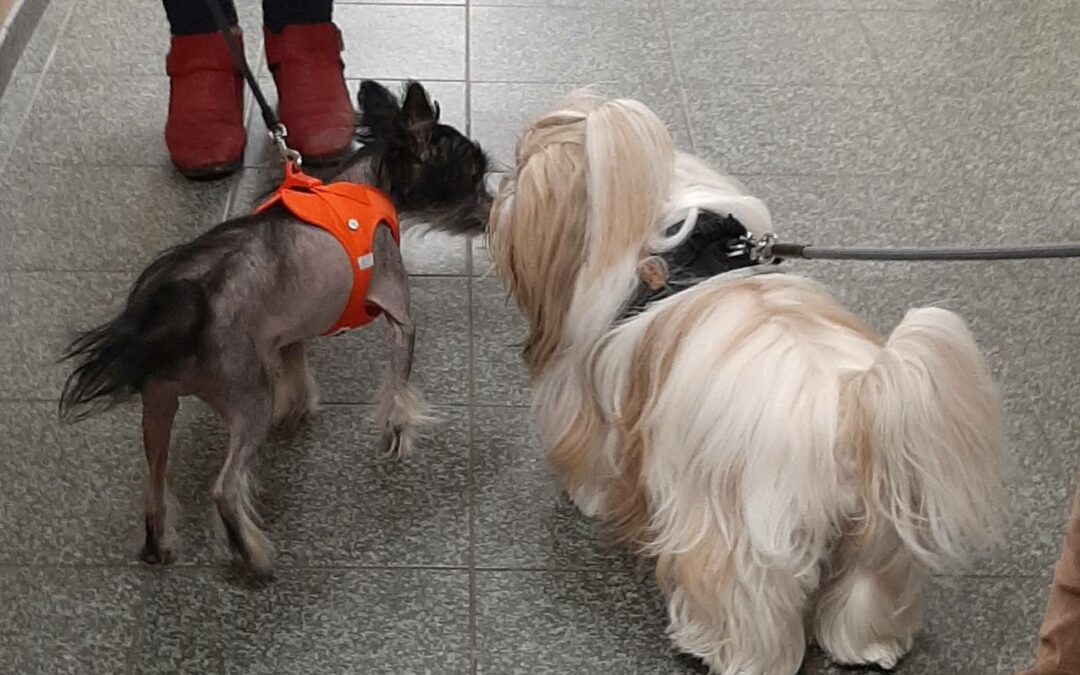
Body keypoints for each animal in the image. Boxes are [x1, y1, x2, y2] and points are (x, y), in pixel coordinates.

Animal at [486, 90, 1006, 673]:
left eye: (523, 169)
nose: (499, 186)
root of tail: (850, 409)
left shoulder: (592, 397)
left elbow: (594, 461)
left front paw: (587, 498)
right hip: (879, 534)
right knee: (867, 592)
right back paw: (869, 647)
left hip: (737, 533)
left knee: (747, 608)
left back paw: (719, 649)